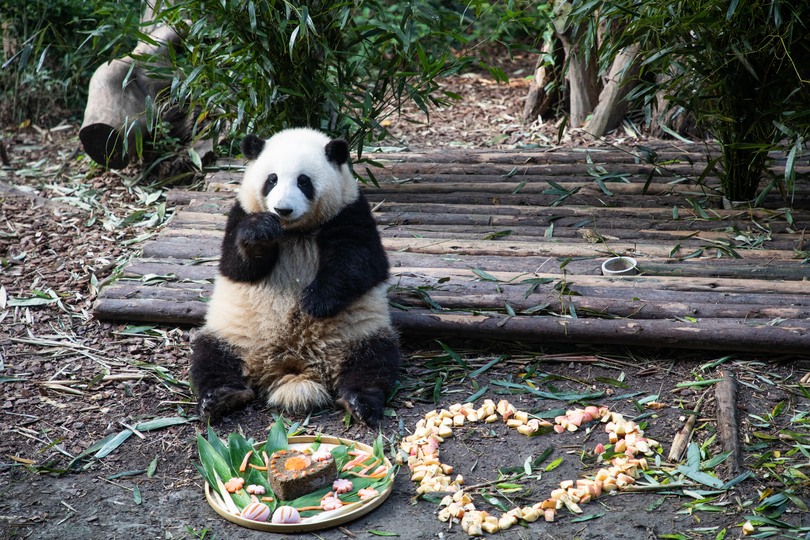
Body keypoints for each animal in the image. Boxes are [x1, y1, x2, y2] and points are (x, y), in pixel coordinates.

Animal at [193, 126, 400, 426]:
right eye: (272, 179)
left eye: (304, 181)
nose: (283, 209)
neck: (294, 232)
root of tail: (294, 364)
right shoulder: (240, 213)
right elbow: (236, 265)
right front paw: (260, 232)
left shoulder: (350, 212)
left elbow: (359, 262)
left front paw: (313, 302)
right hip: (234, 334)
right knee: (209, 358)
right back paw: (220, 396)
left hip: (358, 331)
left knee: (375, 361)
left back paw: (360, 401)